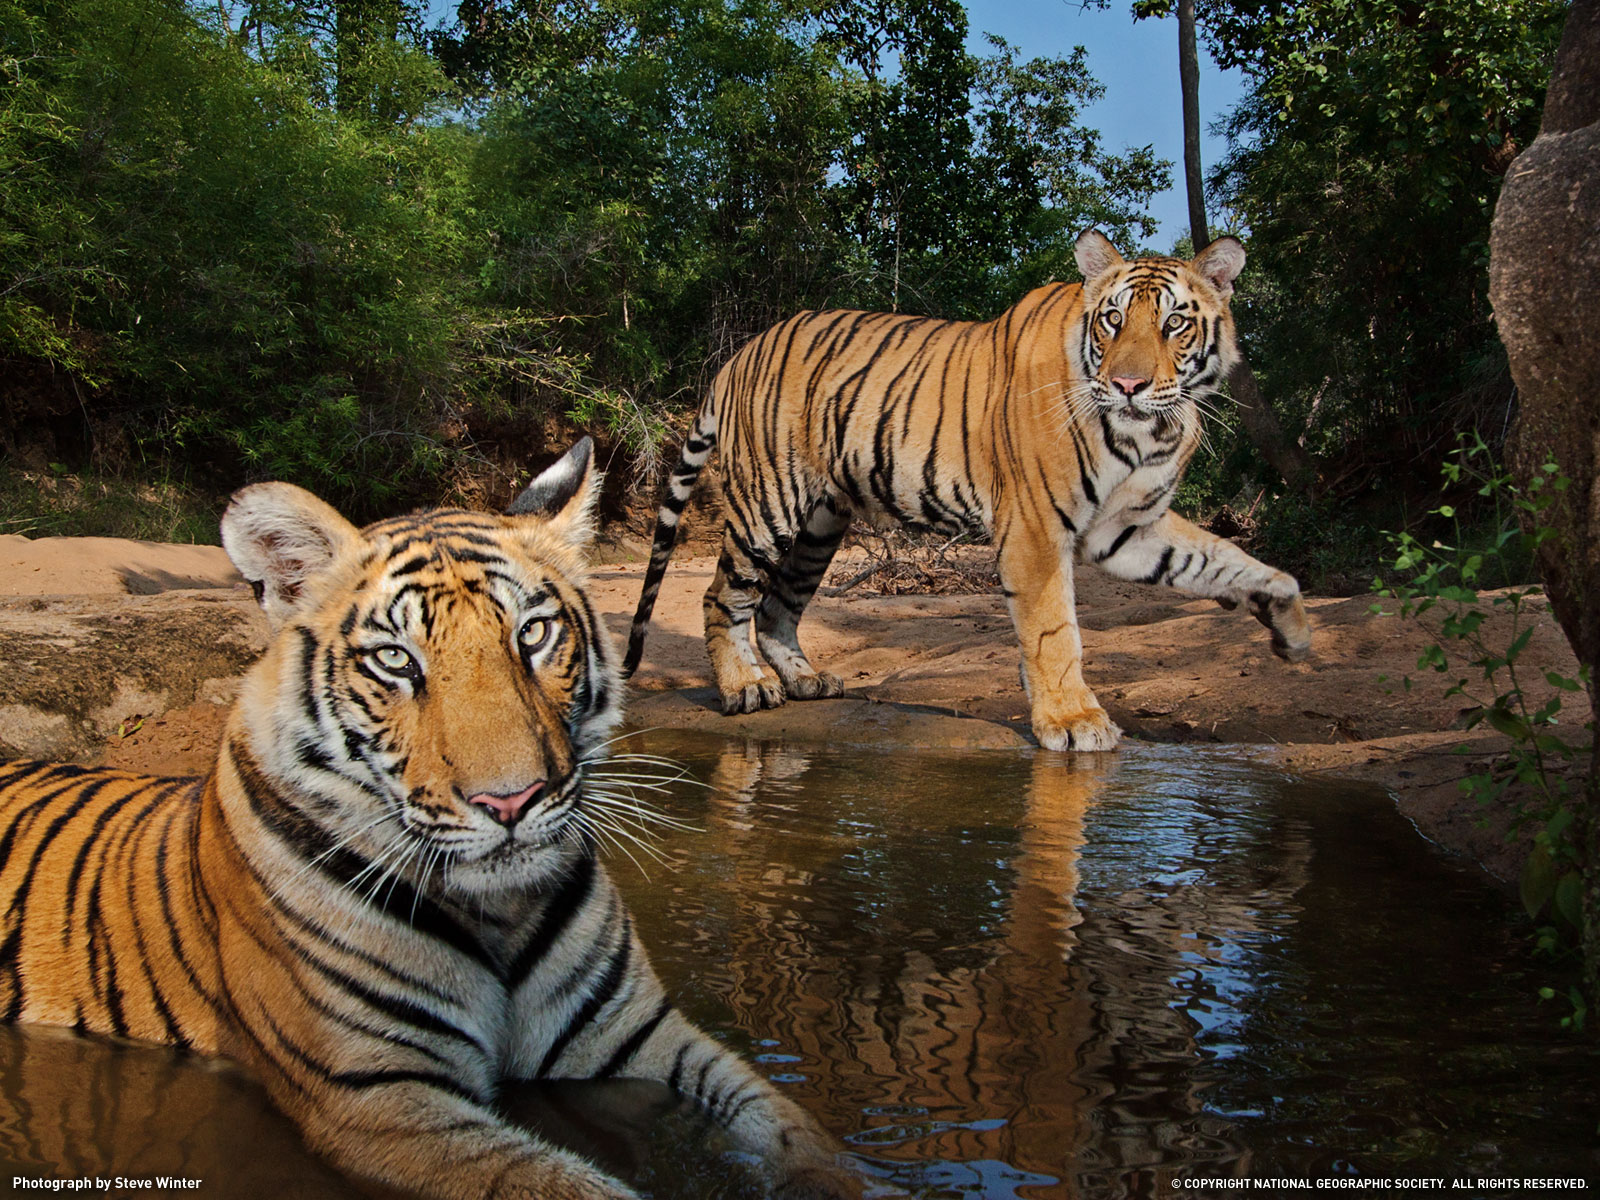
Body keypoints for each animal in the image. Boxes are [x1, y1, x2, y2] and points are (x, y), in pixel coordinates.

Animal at [0, 441, 864, 1200]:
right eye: (396, 661)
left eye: (533, 634)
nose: (511, 801)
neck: (501, 913)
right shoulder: (379, 1097)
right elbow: (562, 1185)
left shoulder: (634, 1030)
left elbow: (791, 1123)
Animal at [624, 228, 1312, 748]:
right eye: (1113, 321)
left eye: (1174, 325)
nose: (1128, 385)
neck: (1146, 433)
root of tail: (740, 354)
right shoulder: (1036, 529)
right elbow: (1054, 631)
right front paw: (1074, 720)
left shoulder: (1128, 527)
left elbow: (1227, 558)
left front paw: (1290, 622)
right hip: (768, 506)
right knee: (722, 596)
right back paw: (744, 688)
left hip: (821, 524)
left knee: (776, 605)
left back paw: (804, 681)